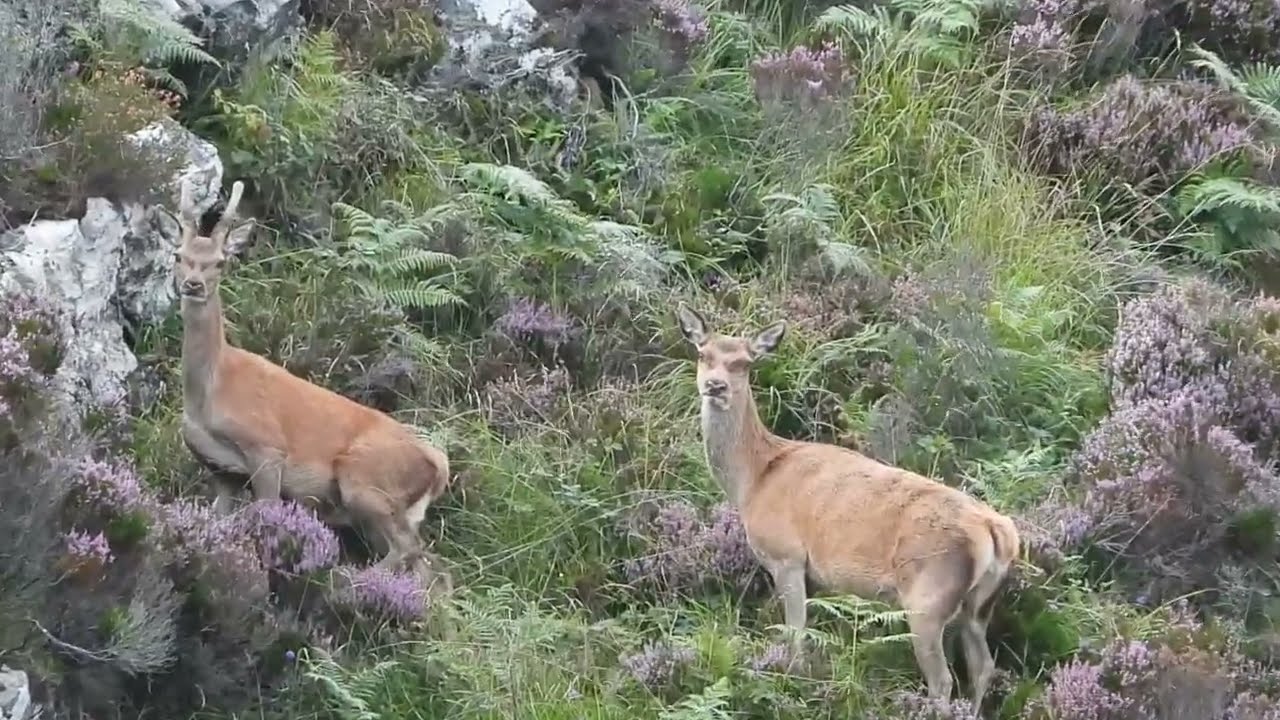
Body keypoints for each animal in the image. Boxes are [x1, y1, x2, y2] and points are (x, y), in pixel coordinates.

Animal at [166, 178, 453, 591]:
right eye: (178, 254)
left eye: (220, 261)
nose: (193, 284)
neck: (210, 392)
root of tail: (438, 465)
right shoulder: (220, 470)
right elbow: (217, 521)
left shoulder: (267, 448)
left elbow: (265, 516)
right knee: (429, 566)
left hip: (365, 480)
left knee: (409, 550)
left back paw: (350, 581)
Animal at [674, 303, 1020, 713]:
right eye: (703, 354)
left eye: (744, 363)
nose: (715, 386)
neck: (753, 480)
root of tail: (998, 533)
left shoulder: (786, 556)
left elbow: (795, 637)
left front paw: (792, 687)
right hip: (978, 604)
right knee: (983, 668)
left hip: (928, 598)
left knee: (943, 680)